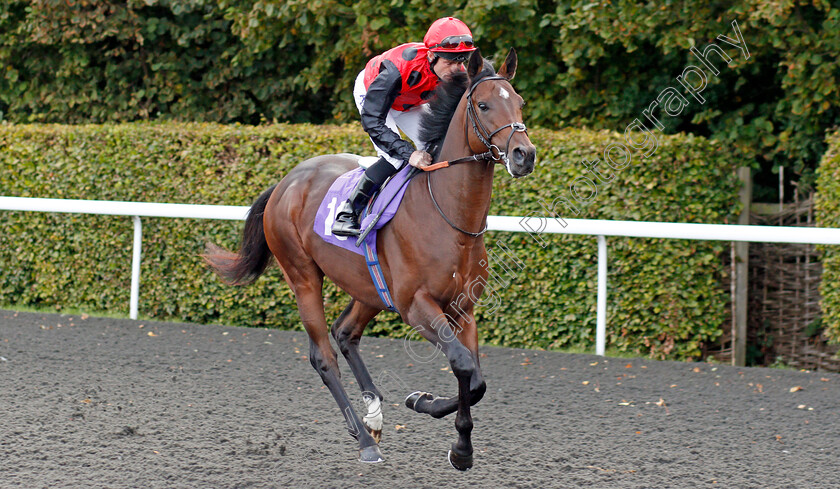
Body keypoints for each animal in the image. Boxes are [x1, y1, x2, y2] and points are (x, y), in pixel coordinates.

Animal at [202, 48, 540, 468]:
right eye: (483, 104)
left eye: (520, 102)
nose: (524, 155)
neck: (449, 217)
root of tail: (285, 182)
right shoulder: (416, 306)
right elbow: (463, 365)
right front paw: (455, 440)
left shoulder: (463, 309)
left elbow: (475, 379)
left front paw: (432, 412)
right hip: (303, 276)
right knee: (324, 356)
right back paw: (365, 440)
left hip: (368, 287)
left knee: (345, 333)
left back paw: (373, 415)